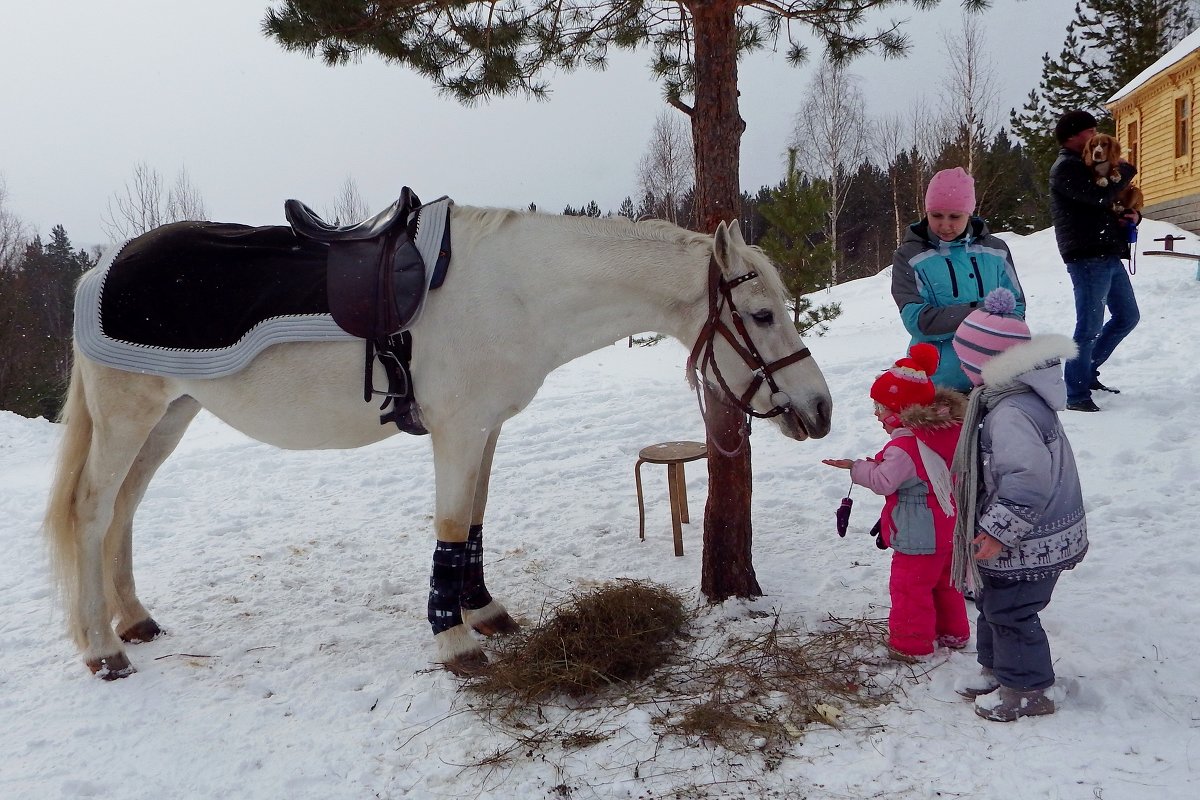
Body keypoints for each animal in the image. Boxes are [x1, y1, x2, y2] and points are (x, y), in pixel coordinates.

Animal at [42, 203, 830, 681]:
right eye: (761, 314)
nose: (818, 410)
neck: (516, 291)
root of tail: (97, 271)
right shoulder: (455, 429)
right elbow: (451, 525)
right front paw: (453, 640)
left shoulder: (485, 428)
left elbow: (475, 523)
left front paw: (483, 612)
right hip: (128, 416)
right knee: (92, 511)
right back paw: (103, 648)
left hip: (169, 417)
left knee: (123, 512)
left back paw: (134, 621)